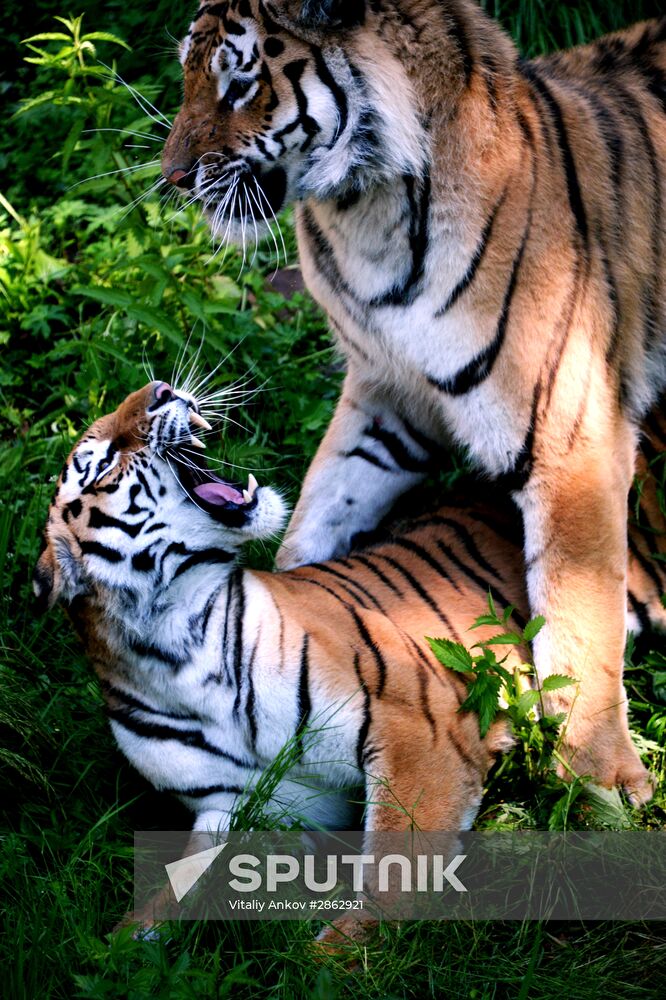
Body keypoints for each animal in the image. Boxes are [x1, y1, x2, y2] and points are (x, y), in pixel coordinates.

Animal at [161, 0, 664, 796]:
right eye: (185, 73)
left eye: (239, 84)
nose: (171, 179)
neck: (368, 215)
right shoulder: (389, 397)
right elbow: (318, 513)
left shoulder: (571, 436)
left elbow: (580, 613)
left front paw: (602, 780)